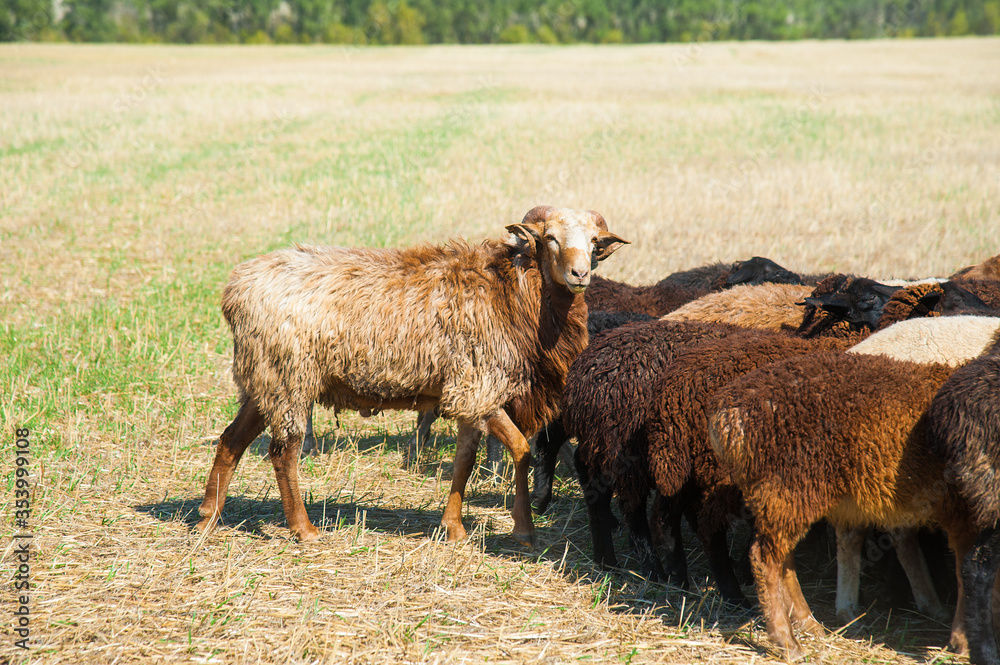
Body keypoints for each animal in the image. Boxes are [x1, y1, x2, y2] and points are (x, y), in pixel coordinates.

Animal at [196, 205, 627, 545]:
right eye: (550, 238)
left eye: (593, 242)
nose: (579, 274)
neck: (513, 294)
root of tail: (236, 288)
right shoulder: (479, 387)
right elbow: (520, 450)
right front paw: (524, 530)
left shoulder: (467, 394)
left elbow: (465, 460)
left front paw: (453, 528)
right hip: (289, 378)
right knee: (283, 452)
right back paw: (303, 529)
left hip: (264, 379)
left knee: (232, 440)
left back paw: (207, 516)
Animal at [708, 352, 977, 660]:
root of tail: (726, 412)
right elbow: (965, 572)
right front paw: (962, 641)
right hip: (790, 484)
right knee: (764, 558)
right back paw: (788, 642)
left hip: (784, 495)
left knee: (782, 557)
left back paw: (808, 623)